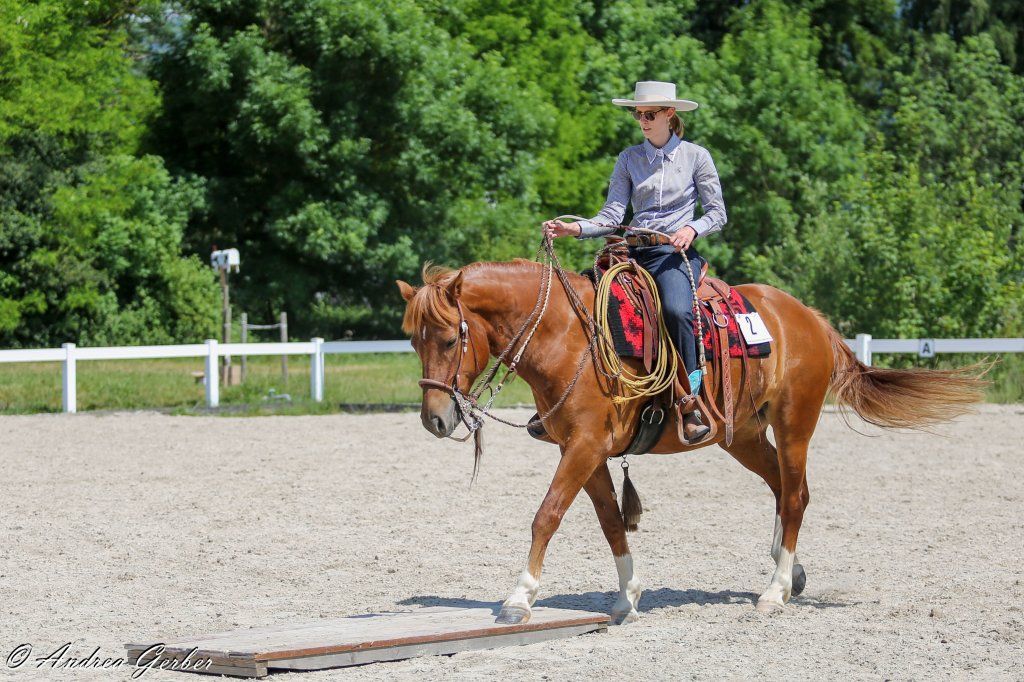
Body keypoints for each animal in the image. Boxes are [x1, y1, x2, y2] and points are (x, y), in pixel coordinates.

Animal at [395, 258, 982, 624]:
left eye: (448, 338)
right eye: (412, 340)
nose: (435, 420)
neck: (567, 335)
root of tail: (807, 318)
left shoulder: (583, 447)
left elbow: (547, 515)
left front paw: (518, 598)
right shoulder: (586, 451)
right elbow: (610, 521)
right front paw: (627, 597)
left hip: (794, 423)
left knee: (794, 494)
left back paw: (774, 591)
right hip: (742, 435)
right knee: (784, 488)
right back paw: (788, 571)